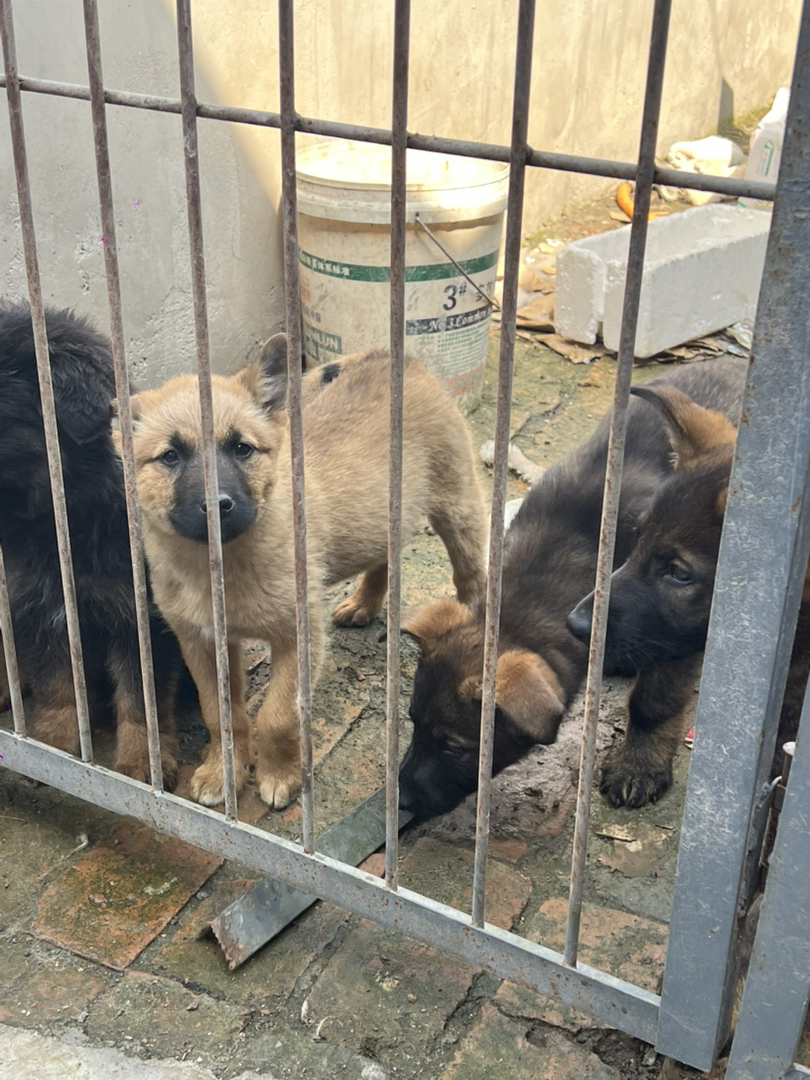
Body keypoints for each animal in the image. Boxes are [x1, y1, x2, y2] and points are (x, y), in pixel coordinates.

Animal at [0, 301, 181, 783]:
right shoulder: (39, 612)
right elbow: (59, 687)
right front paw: (57, 749)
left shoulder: (139, 620)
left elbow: (140, 700)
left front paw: (142, 765)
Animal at [128, 335, 486, 809]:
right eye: (170, 457)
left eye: (241, 448)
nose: (218, 505)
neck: (220, 567)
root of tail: (392, 357)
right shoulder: (202, 644)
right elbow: (221, 715)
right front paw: (221, 772)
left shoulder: (297, 640)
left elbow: (277, 716)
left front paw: (279, 776)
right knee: (384, 557)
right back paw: (364, 604)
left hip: (458, 506)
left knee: (473, 577)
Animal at [398, 358, 746, 821]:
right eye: (412, 722)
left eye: (456, 748)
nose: (400, 799)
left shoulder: (678, 632)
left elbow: (654, 702)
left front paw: (639, 765)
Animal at [567, 380, 810, 807]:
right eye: (638, 537)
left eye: (679, 573)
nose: (577, 625)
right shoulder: (676, 636)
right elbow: (653, 700)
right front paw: (639, 765)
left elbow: (789, 732)